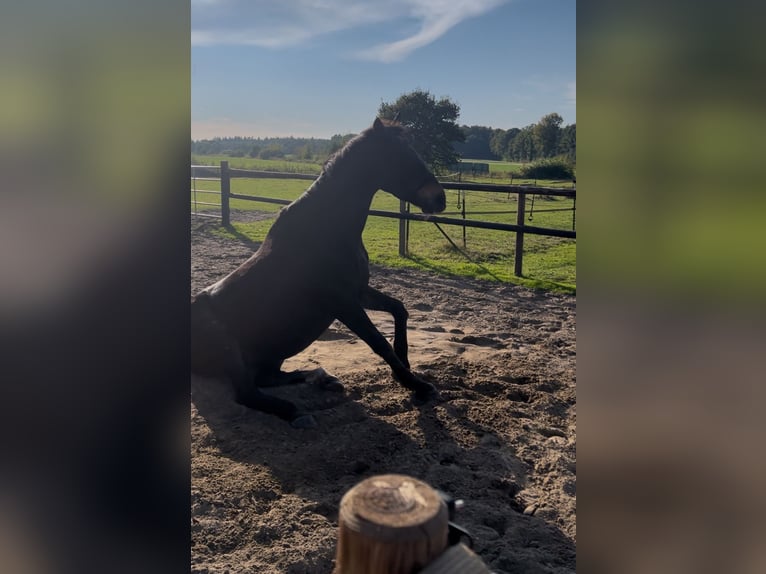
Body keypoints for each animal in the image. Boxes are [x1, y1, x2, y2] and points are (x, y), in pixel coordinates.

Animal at [189, 119, 448, 430]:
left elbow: (399, 309)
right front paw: (417, 385)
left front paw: (406, 365)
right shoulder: (344, 303)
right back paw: (296, 412)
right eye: (399, 155)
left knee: (267, 378)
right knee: (247, 392)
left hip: (269, 356)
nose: (440, 199)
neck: (328, 229)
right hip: (228, 347)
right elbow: (379, 343)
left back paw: (323, 379)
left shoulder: (359, 291)